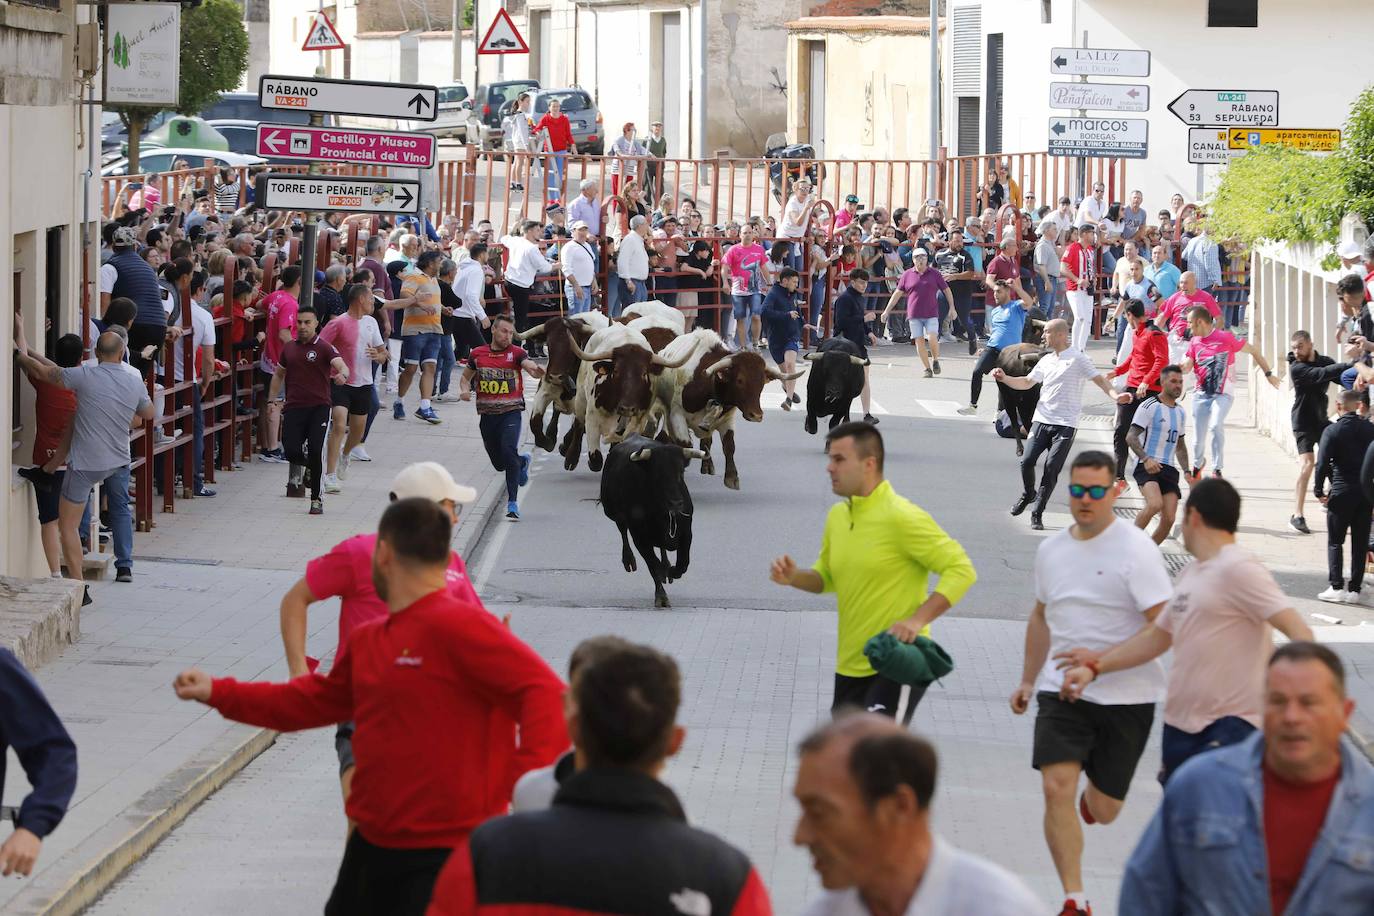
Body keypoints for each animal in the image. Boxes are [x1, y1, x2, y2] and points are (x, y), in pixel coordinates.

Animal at [516, 313, 610, 453]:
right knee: (556, 411)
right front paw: (547, 442)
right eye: (549, 344)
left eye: (572, 346)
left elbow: (577, 428)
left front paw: (565, 445)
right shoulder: (543, 390)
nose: (555, 377)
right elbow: (535, 422)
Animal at [654, 328, 802, 491]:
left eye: (761, 382)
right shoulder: (676, 415)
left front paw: (732, 477)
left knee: (707, 441)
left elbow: (729, 445)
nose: (756, 415)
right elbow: (685, 446)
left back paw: (707, 465)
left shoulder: (727, 420)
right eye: (740, 380)